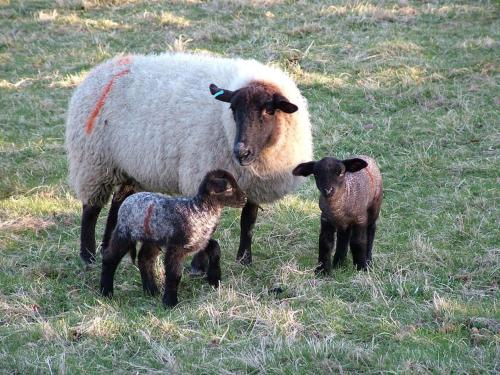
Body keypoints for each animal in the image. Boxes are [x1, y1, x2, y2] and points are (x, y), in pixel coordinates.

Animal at [64, 51, 310, 268]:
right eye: (232, 108)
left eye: (269, 110)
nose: (241, 152)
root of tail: (102, 68)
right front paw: (198, 266)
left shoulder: (253, 185)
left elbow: (248, 222)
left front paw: (244, 260)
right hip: (94, 162)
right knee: (91, 208)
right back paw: (88, 256)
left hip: (129, 167)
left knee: (119, 203)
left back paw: (108, 248)